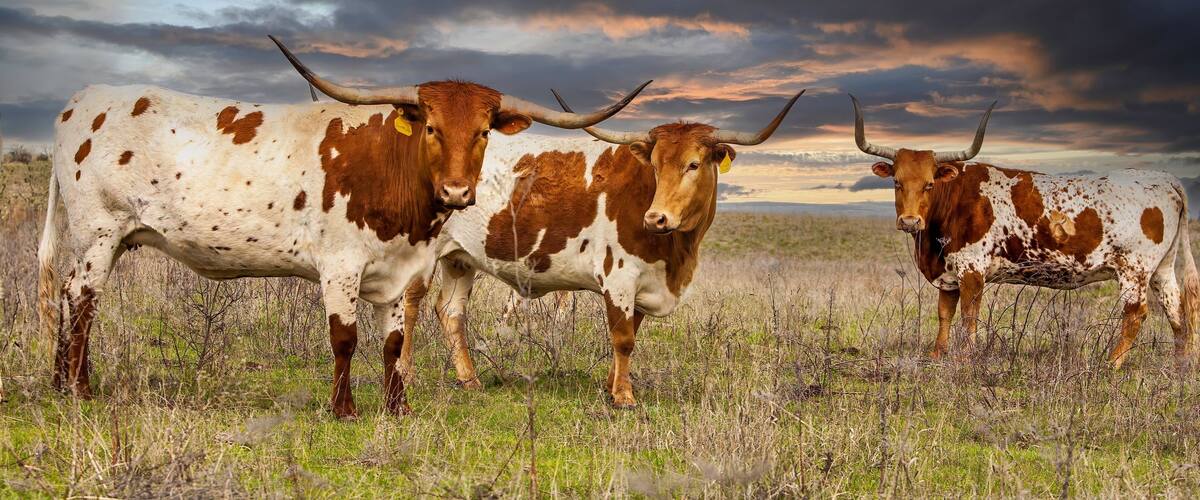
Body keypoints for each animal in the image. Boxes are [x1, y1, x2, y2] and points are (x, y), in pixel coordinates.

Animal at [35, 35, 649, 419]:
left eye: (483, 132)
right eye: (430, 126)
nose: (457, 193)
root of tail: (81, 101)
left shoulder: (404, 269)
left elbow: (395, 341)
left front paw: (398, 408)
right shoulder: (340, 266)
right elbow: (345, 338)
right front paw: (345, 409)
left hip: (107, 239)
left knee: (69, 296)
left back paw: (64, 383)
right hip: (97, 232)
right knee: (81, 300)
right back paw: (80, 388)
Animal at [398, 90, 804, 408]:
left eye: (693, 164)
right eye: (655, 165)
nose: (656, 218)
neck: (676, 253)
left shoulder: (643, 285)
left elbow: (631, 334)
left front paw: (612, 386)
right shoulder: (619, 276)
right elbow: (623, 338)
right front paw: (623, 397)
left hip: (459, 257)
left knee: (450, 311)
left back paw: (470, 380)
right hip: (423, 251)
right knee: (411, 306)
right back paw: (406, 373)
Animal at [850, 96, 1199, 367]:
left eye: (929, 184)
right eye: (897, 182)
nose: (910, 222)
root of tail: (1166, 179)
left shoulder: (972, 271)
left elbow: (969, 316)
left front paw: (964, 359)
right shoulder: (948, 274)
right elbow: (944, 314)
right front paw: (937, 356)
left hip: (1134, 269)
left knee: (1137, 313)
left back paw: (1111, 364)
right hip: (1161, 268)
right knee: (1176, 309)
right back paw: (1179, 364)